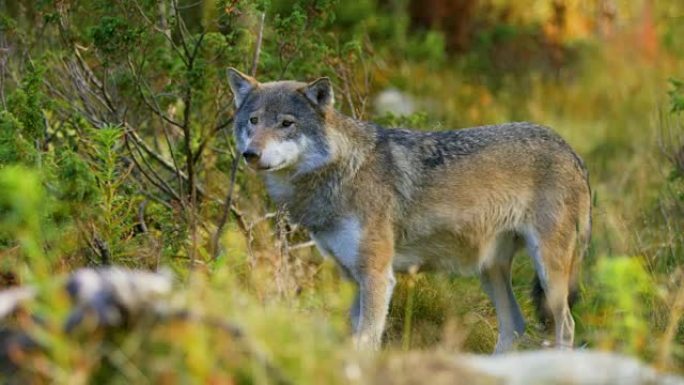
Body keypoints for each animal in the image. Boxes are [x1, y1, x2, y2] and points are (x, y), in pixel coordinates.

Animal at [227, 68, 592, 352]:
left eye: (286, 124)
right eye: (253, 121)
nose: (251, 154)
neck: (343, 171)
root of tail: (571, 150)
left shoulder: (377, 276)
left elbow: (366, 341)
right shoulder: (351, 277)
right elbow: (354, 337)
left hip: (549, 271)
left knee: (566, 325)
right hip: (490, 270)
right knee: (514, 324)